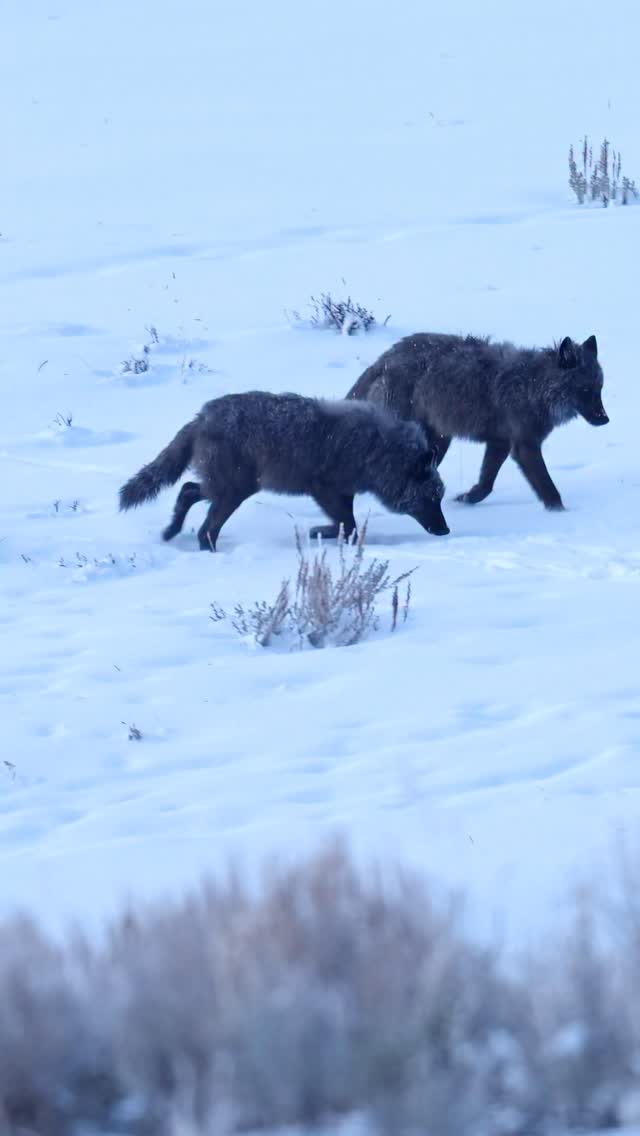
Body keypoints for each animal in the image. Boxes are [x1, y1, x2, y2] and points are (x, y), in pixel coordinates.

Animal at [119, 390, 450, 549]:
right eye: (431, 499)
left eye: (439, 498)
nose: (445, 530)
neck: (376, 451)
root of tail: (201, 417)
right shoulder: (326, 490)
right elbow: (350, 526)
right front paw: (319, 533)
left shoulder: (342, 493)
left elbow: (349, 526)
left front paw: (322, 532)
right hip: (234, 492)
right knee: (204, 529)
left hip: (229, 489)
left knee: (188, 492)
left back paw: (172, 530)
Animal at [347, 332, 608, 510]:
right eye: (585, 390)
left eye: (599, 389)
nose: (605, 419)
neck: (532, 388)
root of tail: (384, 359)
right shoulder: (525, 447)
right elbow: (549, 489)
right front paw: (561, 514)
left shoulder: (500, 444)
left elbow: (486, 484)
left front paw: (467, 498)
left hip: (438, 443)